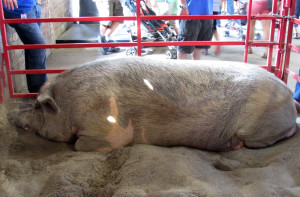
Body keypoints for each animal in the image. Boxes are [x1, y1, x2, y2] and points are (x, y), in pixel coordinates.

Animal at [8, 57, 298, 152]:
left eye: (38, 107)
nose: (12, 116)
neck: (71, 105)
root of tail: (289, 95)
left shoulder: (110, 130)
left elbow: (82, 146)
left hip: (258, 127)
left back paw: (234, 145)